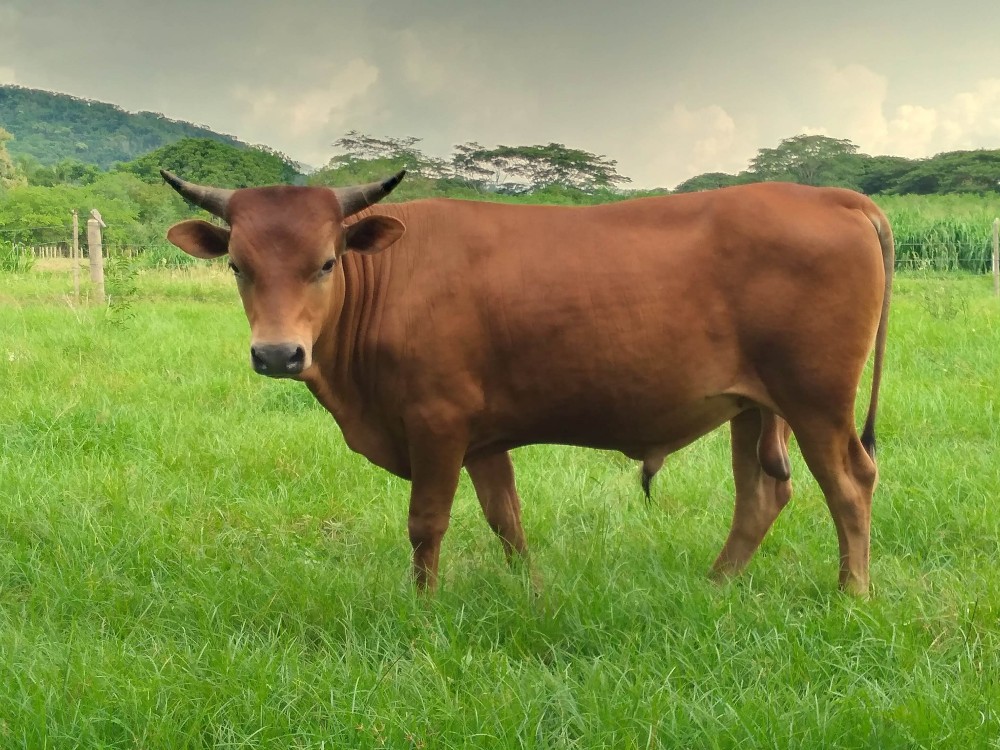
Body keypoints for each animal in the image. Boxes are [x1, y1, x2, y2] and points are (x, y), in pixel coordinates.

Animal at [162, 169, 892, 592]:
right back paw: (716, 586)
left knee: (849, 484)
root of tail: (836, 196)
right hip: (753, 406)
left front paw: (422, 605)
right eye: (237, 265)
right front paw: (530, 589)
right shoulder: (483, 439)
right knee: (762, 495)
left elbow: (426, 522)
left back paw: (851, 593)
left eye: (326, 262)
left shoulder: (437, 422)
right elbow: (504, 516)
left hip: (817, 401)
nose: (277, 354)